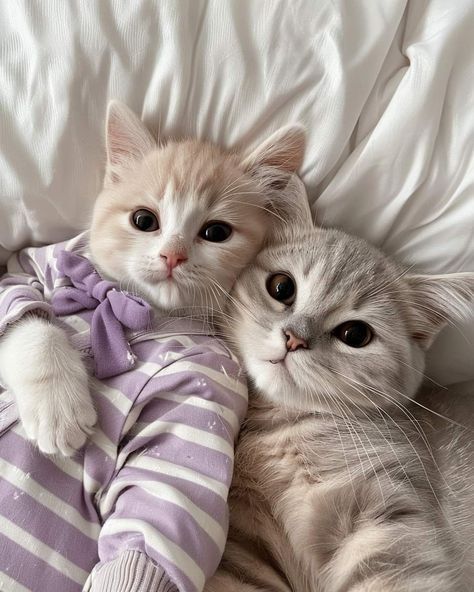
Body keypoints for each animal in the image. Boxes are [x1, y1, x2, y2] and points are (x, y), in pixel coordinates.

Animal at [0, 100, 312, 454]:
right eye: (144, 220)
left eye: (217, 232)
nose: (172, 255)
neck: (126, 306)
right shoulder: (27, 265)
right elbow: (24, 304)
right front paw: (57, 405)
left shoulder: (209, 379)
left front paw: (60, 413)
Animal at [206, 225, 474, 592]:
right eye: (281, 287)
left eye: (355, 334)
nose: (294, 338)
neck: (286, 430)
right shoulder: (247, 541)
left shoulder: (387, 518)